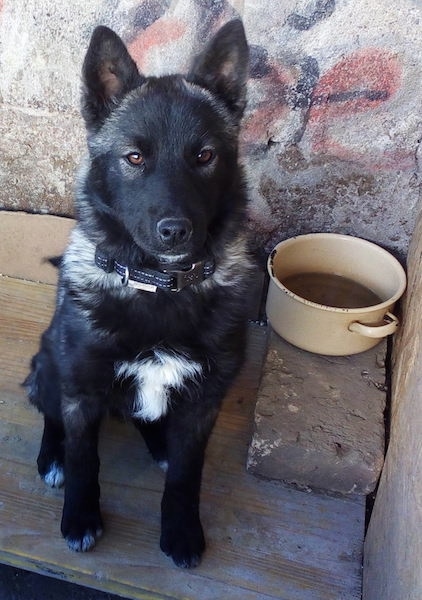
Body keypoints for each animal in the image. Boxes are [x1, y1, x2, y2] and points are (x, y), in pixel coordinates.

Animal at [23, 18, 251, 568]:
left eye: (205, 156)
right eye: (134, 157)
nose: (175, 232)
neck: (158, 287)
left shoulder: (204, 401)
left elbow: (187, 477)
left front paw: (182, 530)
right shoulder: (81, 390)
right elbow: (84, 461)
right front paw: (80, 517)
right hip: (49, 366)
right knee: (51, 416)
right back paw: (51, 456)